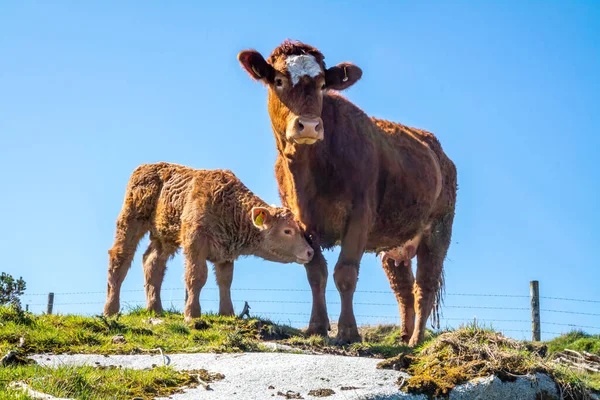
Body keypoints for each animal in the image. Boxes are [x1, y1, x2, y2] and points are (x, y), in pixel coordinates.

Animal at [237, 41, 458, 346]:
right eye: (279, 80)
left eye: (321, 85)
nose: (309, 125)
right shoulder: (302, 223)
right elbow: (316, 272)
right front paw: (317, 326)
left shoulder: (359, 215)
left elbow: (346, 273)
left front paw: (348, 332)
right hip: (395, 245)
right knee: (403, 286)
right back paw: (403, 337)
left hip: (439, 228)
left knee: (425, 283)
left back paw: (415, 340)